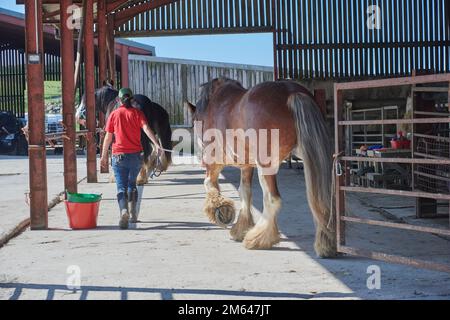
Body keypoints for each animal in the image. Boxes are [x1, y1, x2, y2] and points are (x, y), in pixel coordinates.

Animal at [187, 77, 338, 258]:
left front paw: (221, 210)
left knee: (272, 199)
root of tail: (292, 92)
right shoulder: (246, 166)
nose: (199, 157)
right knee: (321, 199)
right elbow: (244, 192)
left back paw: (258, 239)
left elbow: (209, 184)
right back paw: (325, 244)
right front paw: (240, 228)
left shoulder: (214, 162)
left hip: (266, 166)